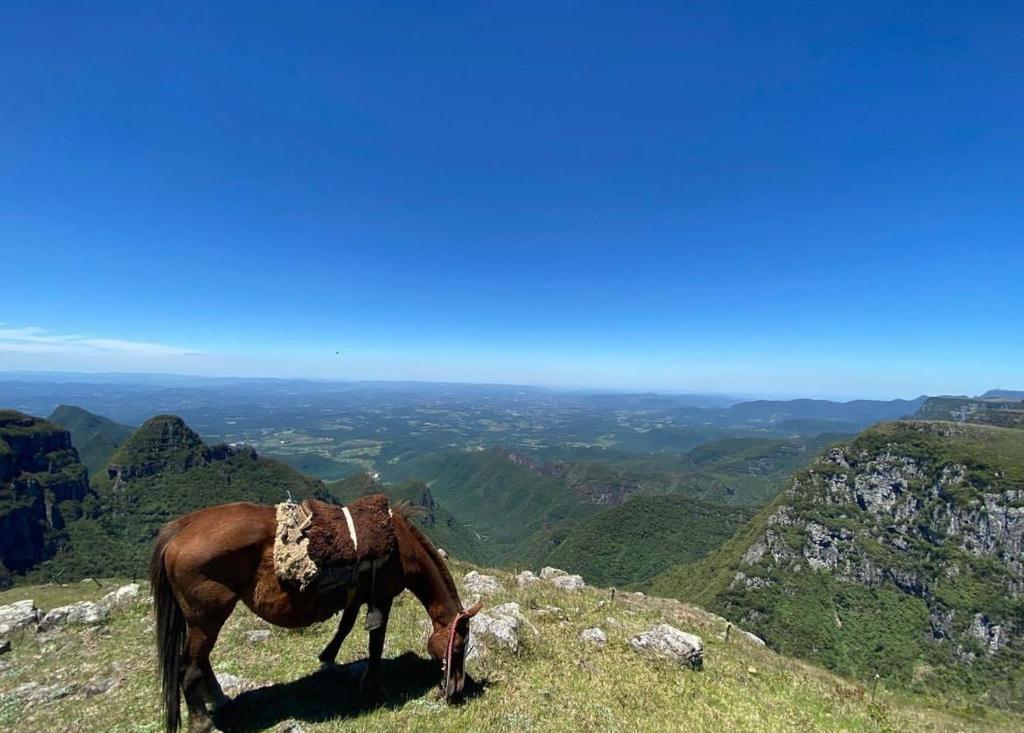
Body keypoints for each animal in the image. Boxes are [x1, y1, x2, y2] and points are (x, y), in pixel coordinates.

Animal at [149, 497, 483, 733]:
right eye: (457, 648)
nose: (455, 691)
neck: (402, 546)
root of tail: (181, 528)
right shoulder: (382, 597)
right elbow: (376, 643)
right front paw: (373, 686)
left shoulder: (357, 594)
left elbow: (346, 625)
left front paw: (328, 659)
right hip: (206, 616)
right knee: (190, 669)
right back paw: (203, 722)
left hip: (202, 620)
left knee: (201, 661)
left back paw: (219, 698)